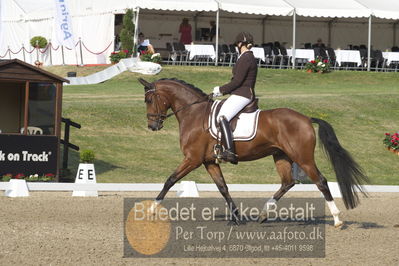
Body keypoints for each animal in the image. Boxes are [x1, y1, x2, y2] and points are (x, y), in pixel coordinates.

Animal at [138, 77, 368, 227]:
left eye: (149, 100)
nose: (152, 126)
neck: (194, 113)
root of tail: (305, 118)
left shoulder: (192, 159)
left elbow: (170, 180)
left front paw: (151, 209)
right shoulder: (208, 161)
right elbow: (223, 188)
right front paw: (237, 218)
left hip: (302, 157)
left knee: (320, 181)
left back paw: (337, 219)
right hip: (281, 156)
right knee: (287, 182)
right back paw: (263, 215)